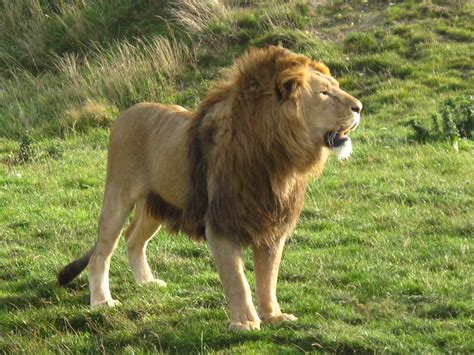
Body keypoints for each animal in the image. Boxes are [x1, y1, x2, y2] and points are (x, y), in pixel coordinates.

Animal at [59, 46, 362, 332]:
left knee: (133, 238)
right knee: (101, 253)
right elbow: (237, 279)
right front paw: (245, 323)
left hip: (157, 204)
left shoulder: (273, 227)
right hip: (118, 196)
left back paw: (146, 282)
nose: (359, 107)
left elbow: (268, 278)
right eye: (325, 93)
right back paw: (101, 301)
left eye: (336, 87)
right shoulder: (221, 224)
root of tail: (126, 112)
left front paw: (274, 316)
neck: (279, 161)